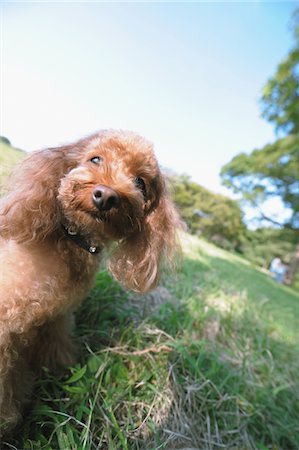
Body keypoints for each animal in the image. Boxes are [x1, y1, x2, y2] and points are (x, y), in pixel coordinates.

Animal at [0, 129, 180, 428]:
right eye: (95, 159)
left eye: (140, 182)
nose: (106, 196)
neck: (73, 241)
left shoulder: (57, 318)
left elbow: (56, 348)